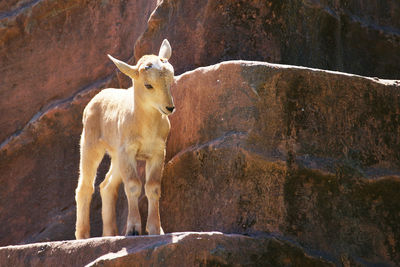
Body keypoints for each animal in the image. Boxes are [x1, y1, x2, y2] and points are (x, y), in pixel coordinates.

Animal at [75, 39, 175, 239]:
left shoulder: (157, 152)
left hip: (116, 156)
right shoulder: (128, 151)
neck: (145, 127)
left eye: (171, 79)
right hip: (90, 145)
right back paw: (82, 235)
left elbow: (152, 187)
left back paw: (110, 234)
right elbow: (134, 186)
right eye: (148, 85)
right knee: (85, 186)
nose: (169, 107)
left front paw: (156, 229)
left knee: (106, 186)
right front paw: (133, 229)